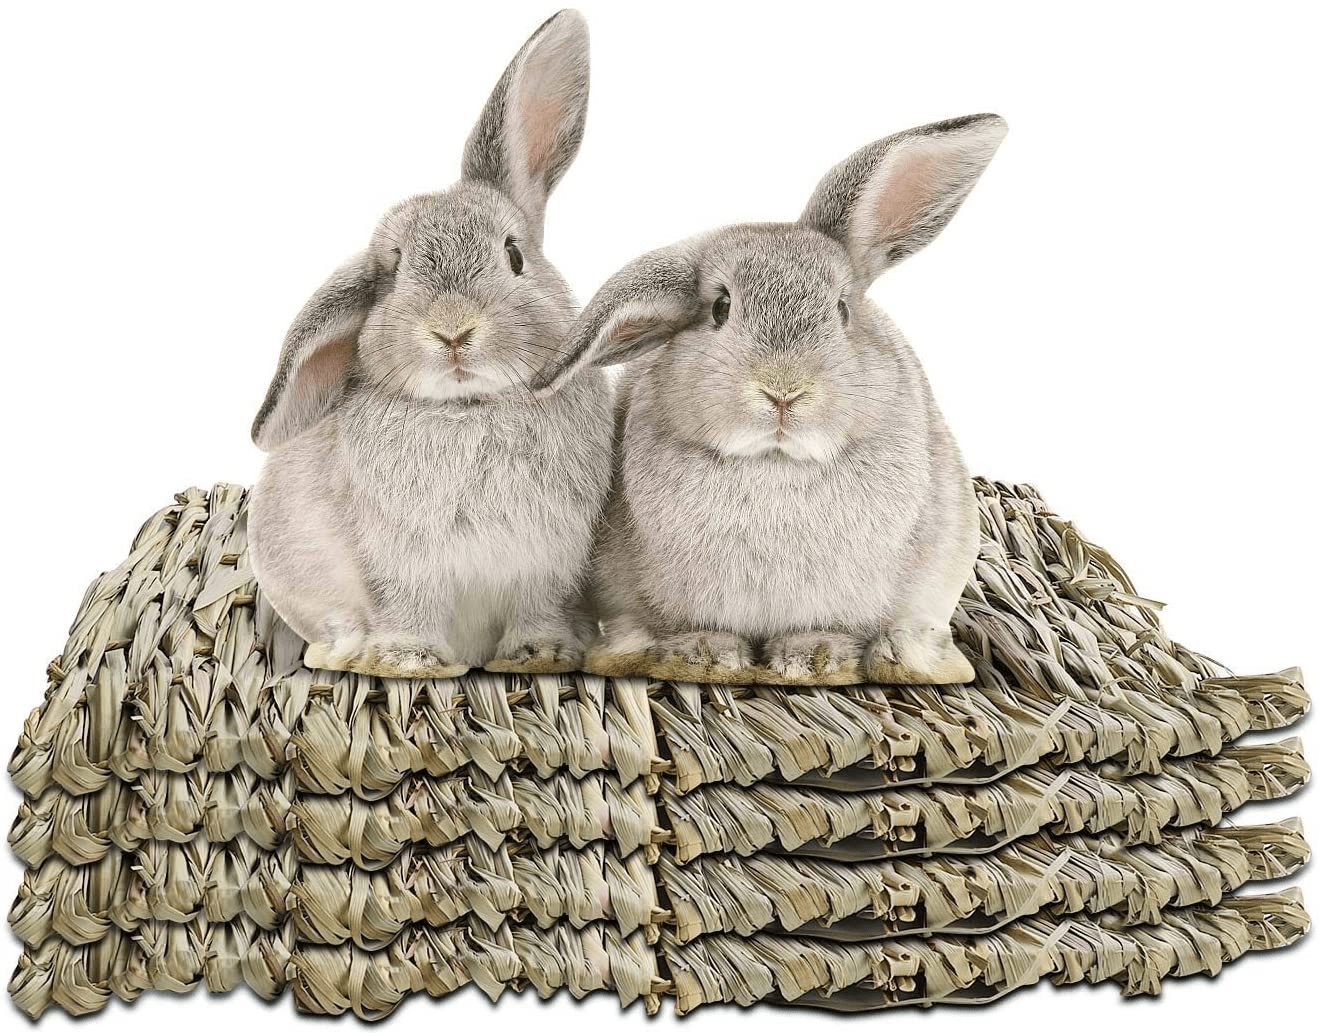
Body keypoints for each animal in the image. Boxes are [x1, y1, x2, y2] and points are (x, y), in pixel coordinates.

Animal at [247, 10, 612, 679]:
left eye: (514, 255)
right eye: (392, 273)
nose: (452, 330)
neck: (468, 409)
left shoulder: (551, 560)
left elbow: (539, 607)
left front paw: (541, 654)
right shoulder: (396, 563)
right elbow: (405, 606)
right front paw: (411, 660)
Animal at [532, 113, 1007, 686]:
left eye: (843, 310)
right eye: (720, 308)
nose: (784, 390)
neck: (775, 463)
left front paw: (813, 658)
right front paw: (705, 655)